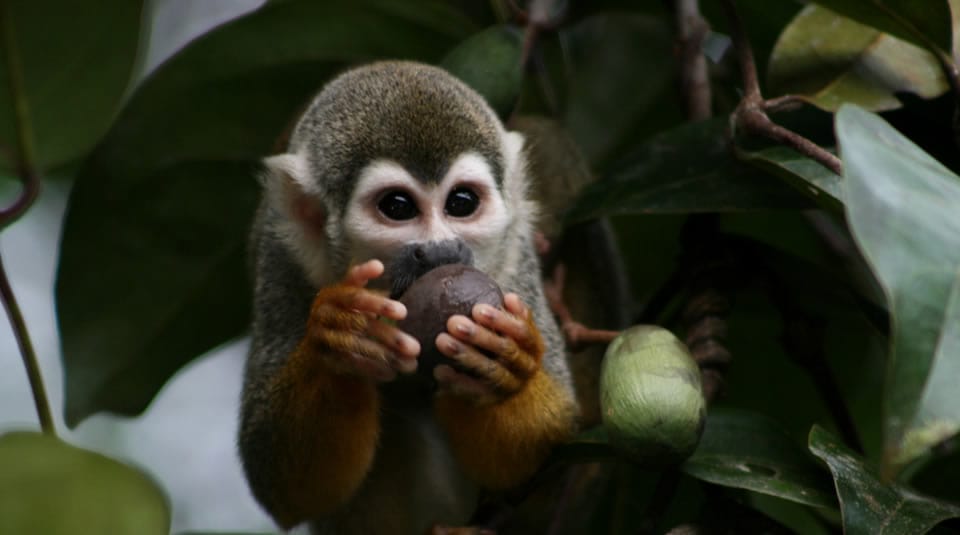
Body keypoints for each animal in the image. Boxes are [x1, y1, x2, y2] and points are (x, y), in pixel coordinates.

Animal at [238, 61, 576, 532]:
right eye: (397, 207)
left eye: (461, 202)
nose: (439, 250)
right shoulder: (281, 258)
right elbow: (280, 483)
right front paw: (340, 343)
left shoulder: (516, 257)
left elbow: (538, 451)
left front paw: (505, 364)